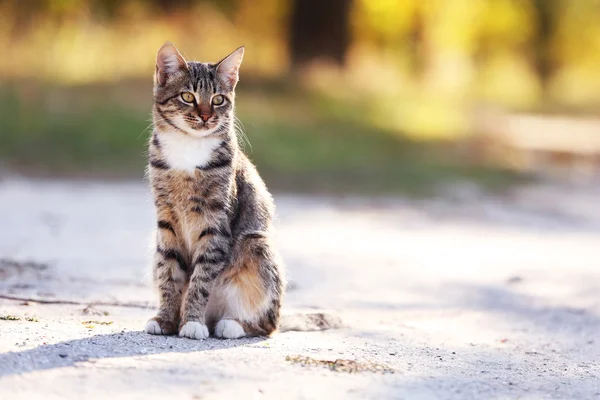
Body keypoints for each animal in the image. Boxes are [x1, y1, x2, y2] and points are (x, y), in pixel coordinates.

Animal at [145, 43, 286, 338]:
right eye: (188, 96)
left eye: (219, 99)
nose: (206, 115)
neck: (188, 148)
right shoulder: (166, 221)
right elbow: (168, 274)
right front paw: (165, 320)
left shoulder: (215, 223)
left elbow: (201, 280)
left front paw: (192, 322)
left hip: (256, 243)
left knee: (269, 324)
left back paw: (230, 324)